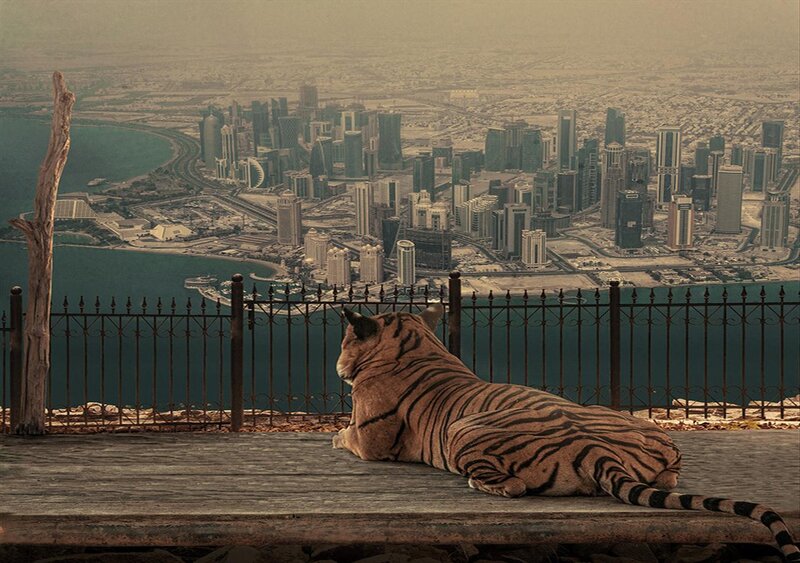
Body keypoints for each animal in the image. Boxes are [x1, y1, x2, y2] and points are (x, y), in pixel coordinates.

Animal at [333, 304, 800, 561]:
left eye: (344, 341)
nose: (339, 364)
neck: (415, 343)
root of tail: (595, 449)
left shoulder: (368, 437)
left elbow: (346, 435)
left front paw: (335, 437)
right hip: (641, 428)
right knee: (671, 470)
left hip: (463, 429)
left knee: (514, 487)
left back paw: (478, 484)